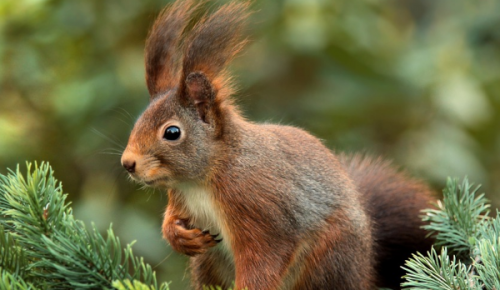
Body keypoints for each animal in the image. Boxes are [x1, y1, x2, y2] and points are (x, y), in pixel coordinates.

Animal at [121, 1, 434, 288]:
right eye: (139, 120)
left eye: (172, 132)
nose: (128, 163)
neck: (203, 179)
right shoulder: (180, 198)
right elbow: (171, 220)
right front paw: (179, 236)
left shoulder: (258, 210)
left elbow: (263, 262)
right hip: (209, 263)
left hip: (328, 258)